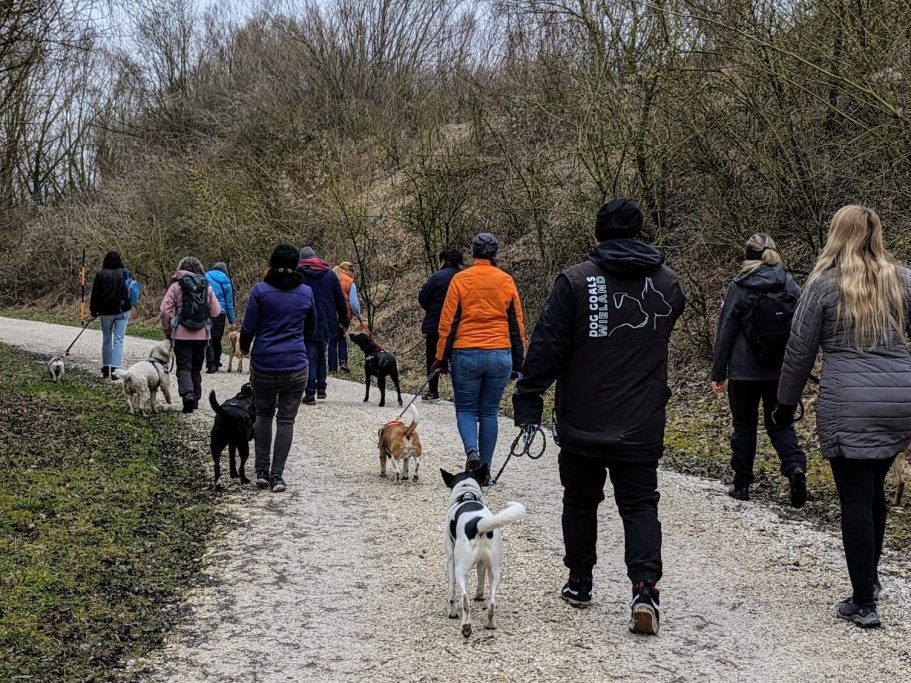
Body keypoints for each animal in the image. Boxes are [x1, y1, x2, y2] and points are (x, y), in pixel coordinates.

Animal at [442, 468, 528, 640]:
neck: (467, 493)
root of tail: (478, 524)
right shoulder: (482, 563)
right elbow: (480, 581)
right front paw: (479, 595)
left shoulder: (450, 560)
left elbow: (451, 593)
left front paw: (452, 613)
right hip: (494, 571)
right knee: (492, 602)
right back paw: (490, 624)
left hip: (461, 570)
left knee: (465, 600)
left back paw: (466, 626)